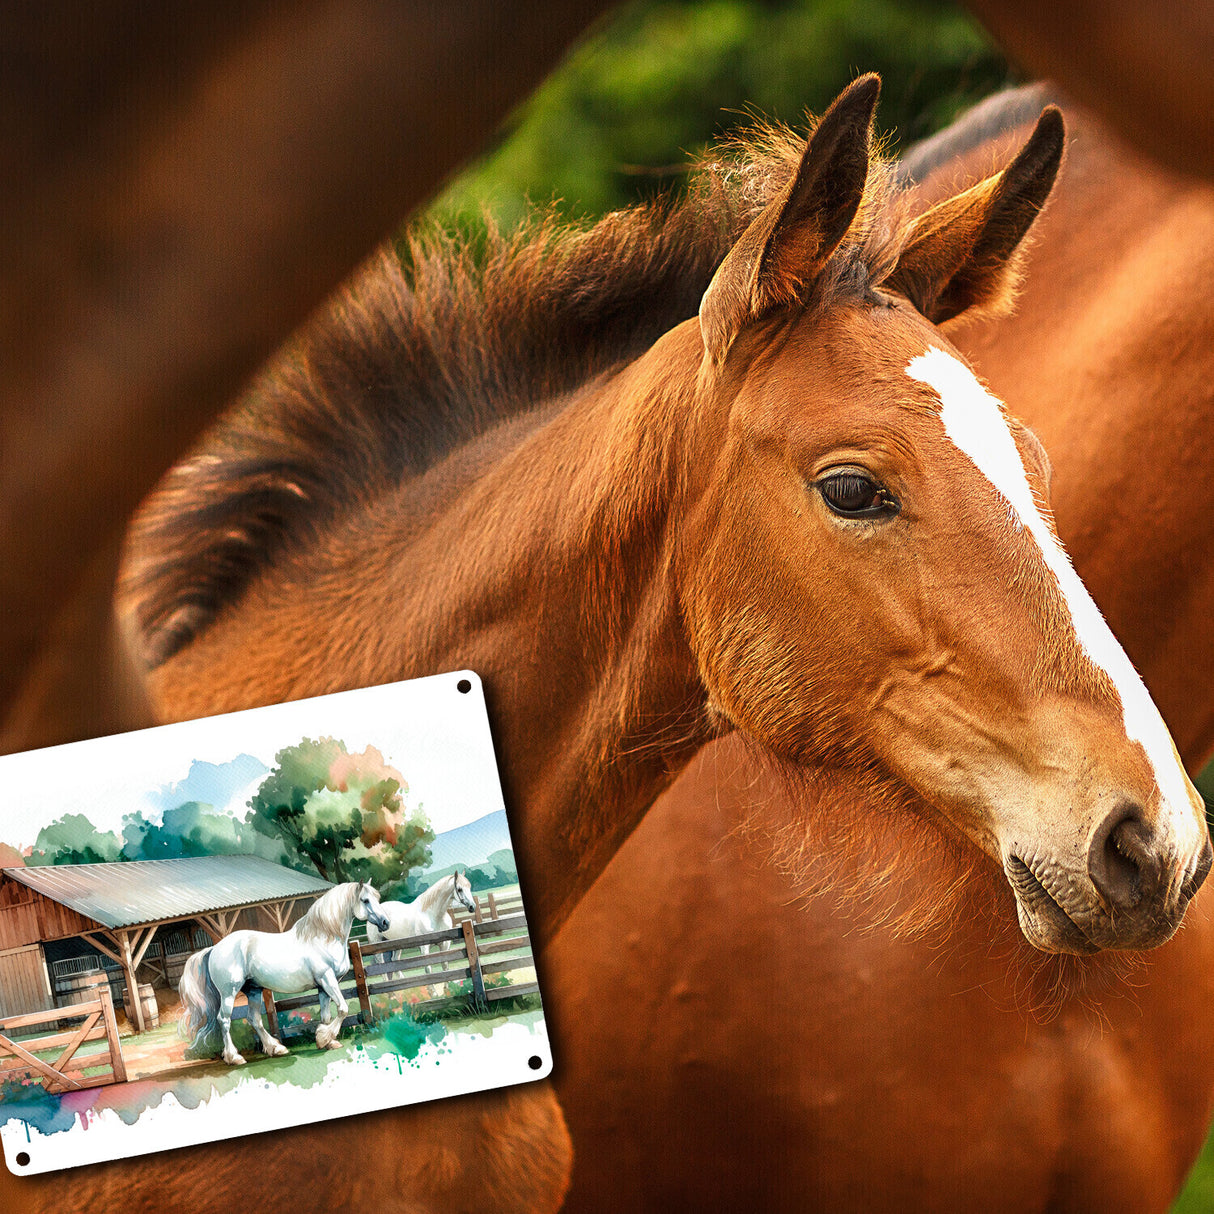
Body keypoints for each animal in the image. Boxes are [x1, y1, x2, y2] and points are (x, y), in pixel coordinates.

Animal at [179, 881, 391, 1065]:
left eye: (377, 898)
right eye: (365, 900)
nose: (385, 923)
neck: (323, 936)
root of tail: (214, 948)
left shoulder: (323, 986)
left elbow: (326, 1016)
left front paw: (326, 1041)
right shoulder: (327, 979)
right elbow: (343, 1009)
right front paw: (325, 1039)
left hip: (253, 990)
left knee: (254, 1019)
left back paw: (276, 1048)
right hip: (229, 993)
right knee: (224, 1020)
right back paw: (235, 1058)